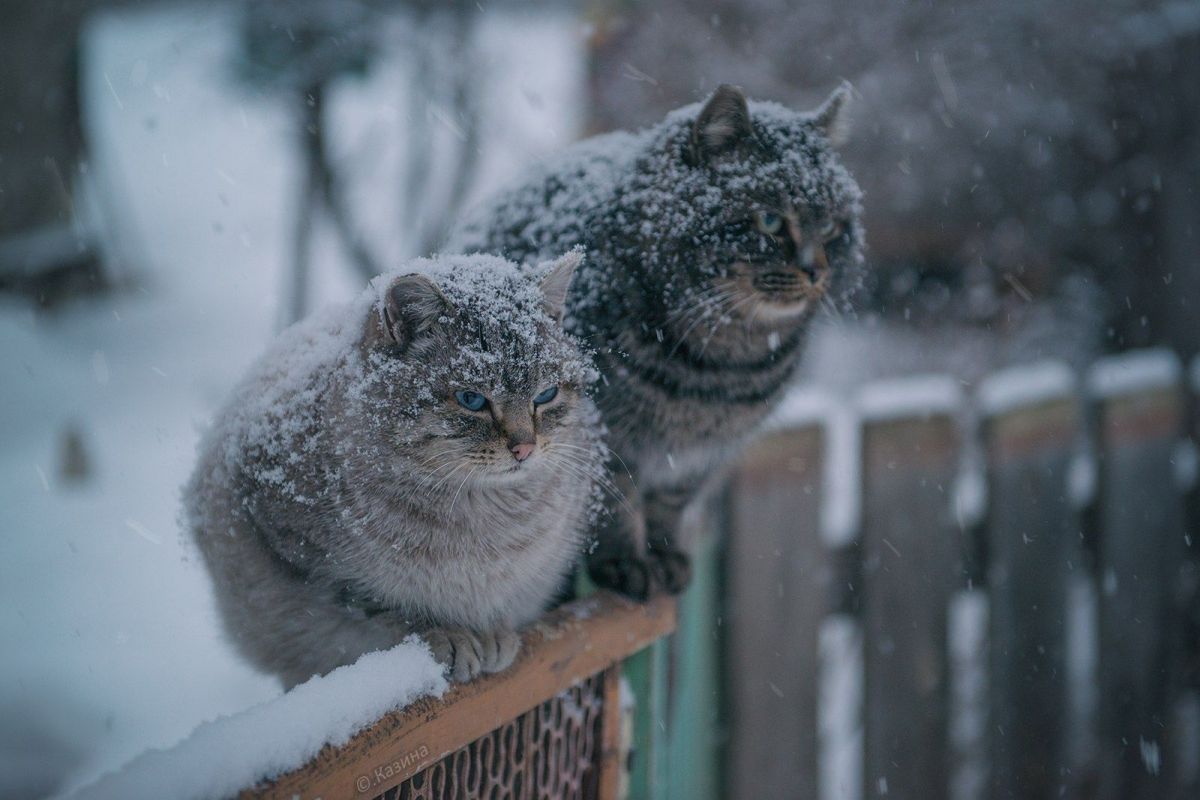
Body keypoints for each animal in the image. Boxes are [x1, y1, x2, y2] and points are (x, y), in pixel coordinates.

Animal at [183, 251, 604, 690]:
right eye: (471, 399)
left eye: (546, 395)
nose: (525, 448)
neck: (480, 515)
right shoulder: (309, 558)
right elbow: (387, 607)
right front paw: (450, 634)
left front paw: (489, 632)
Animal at [446, 84, 859, 597]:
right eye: (769, 220)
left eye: (832, 227)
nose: (816, 270)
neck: (723, 366)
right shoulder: (608, 436)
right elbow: (616, 503)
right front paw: (626, 564)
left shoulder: (702, 455)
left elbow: (670, 505)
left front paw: (665, 557)